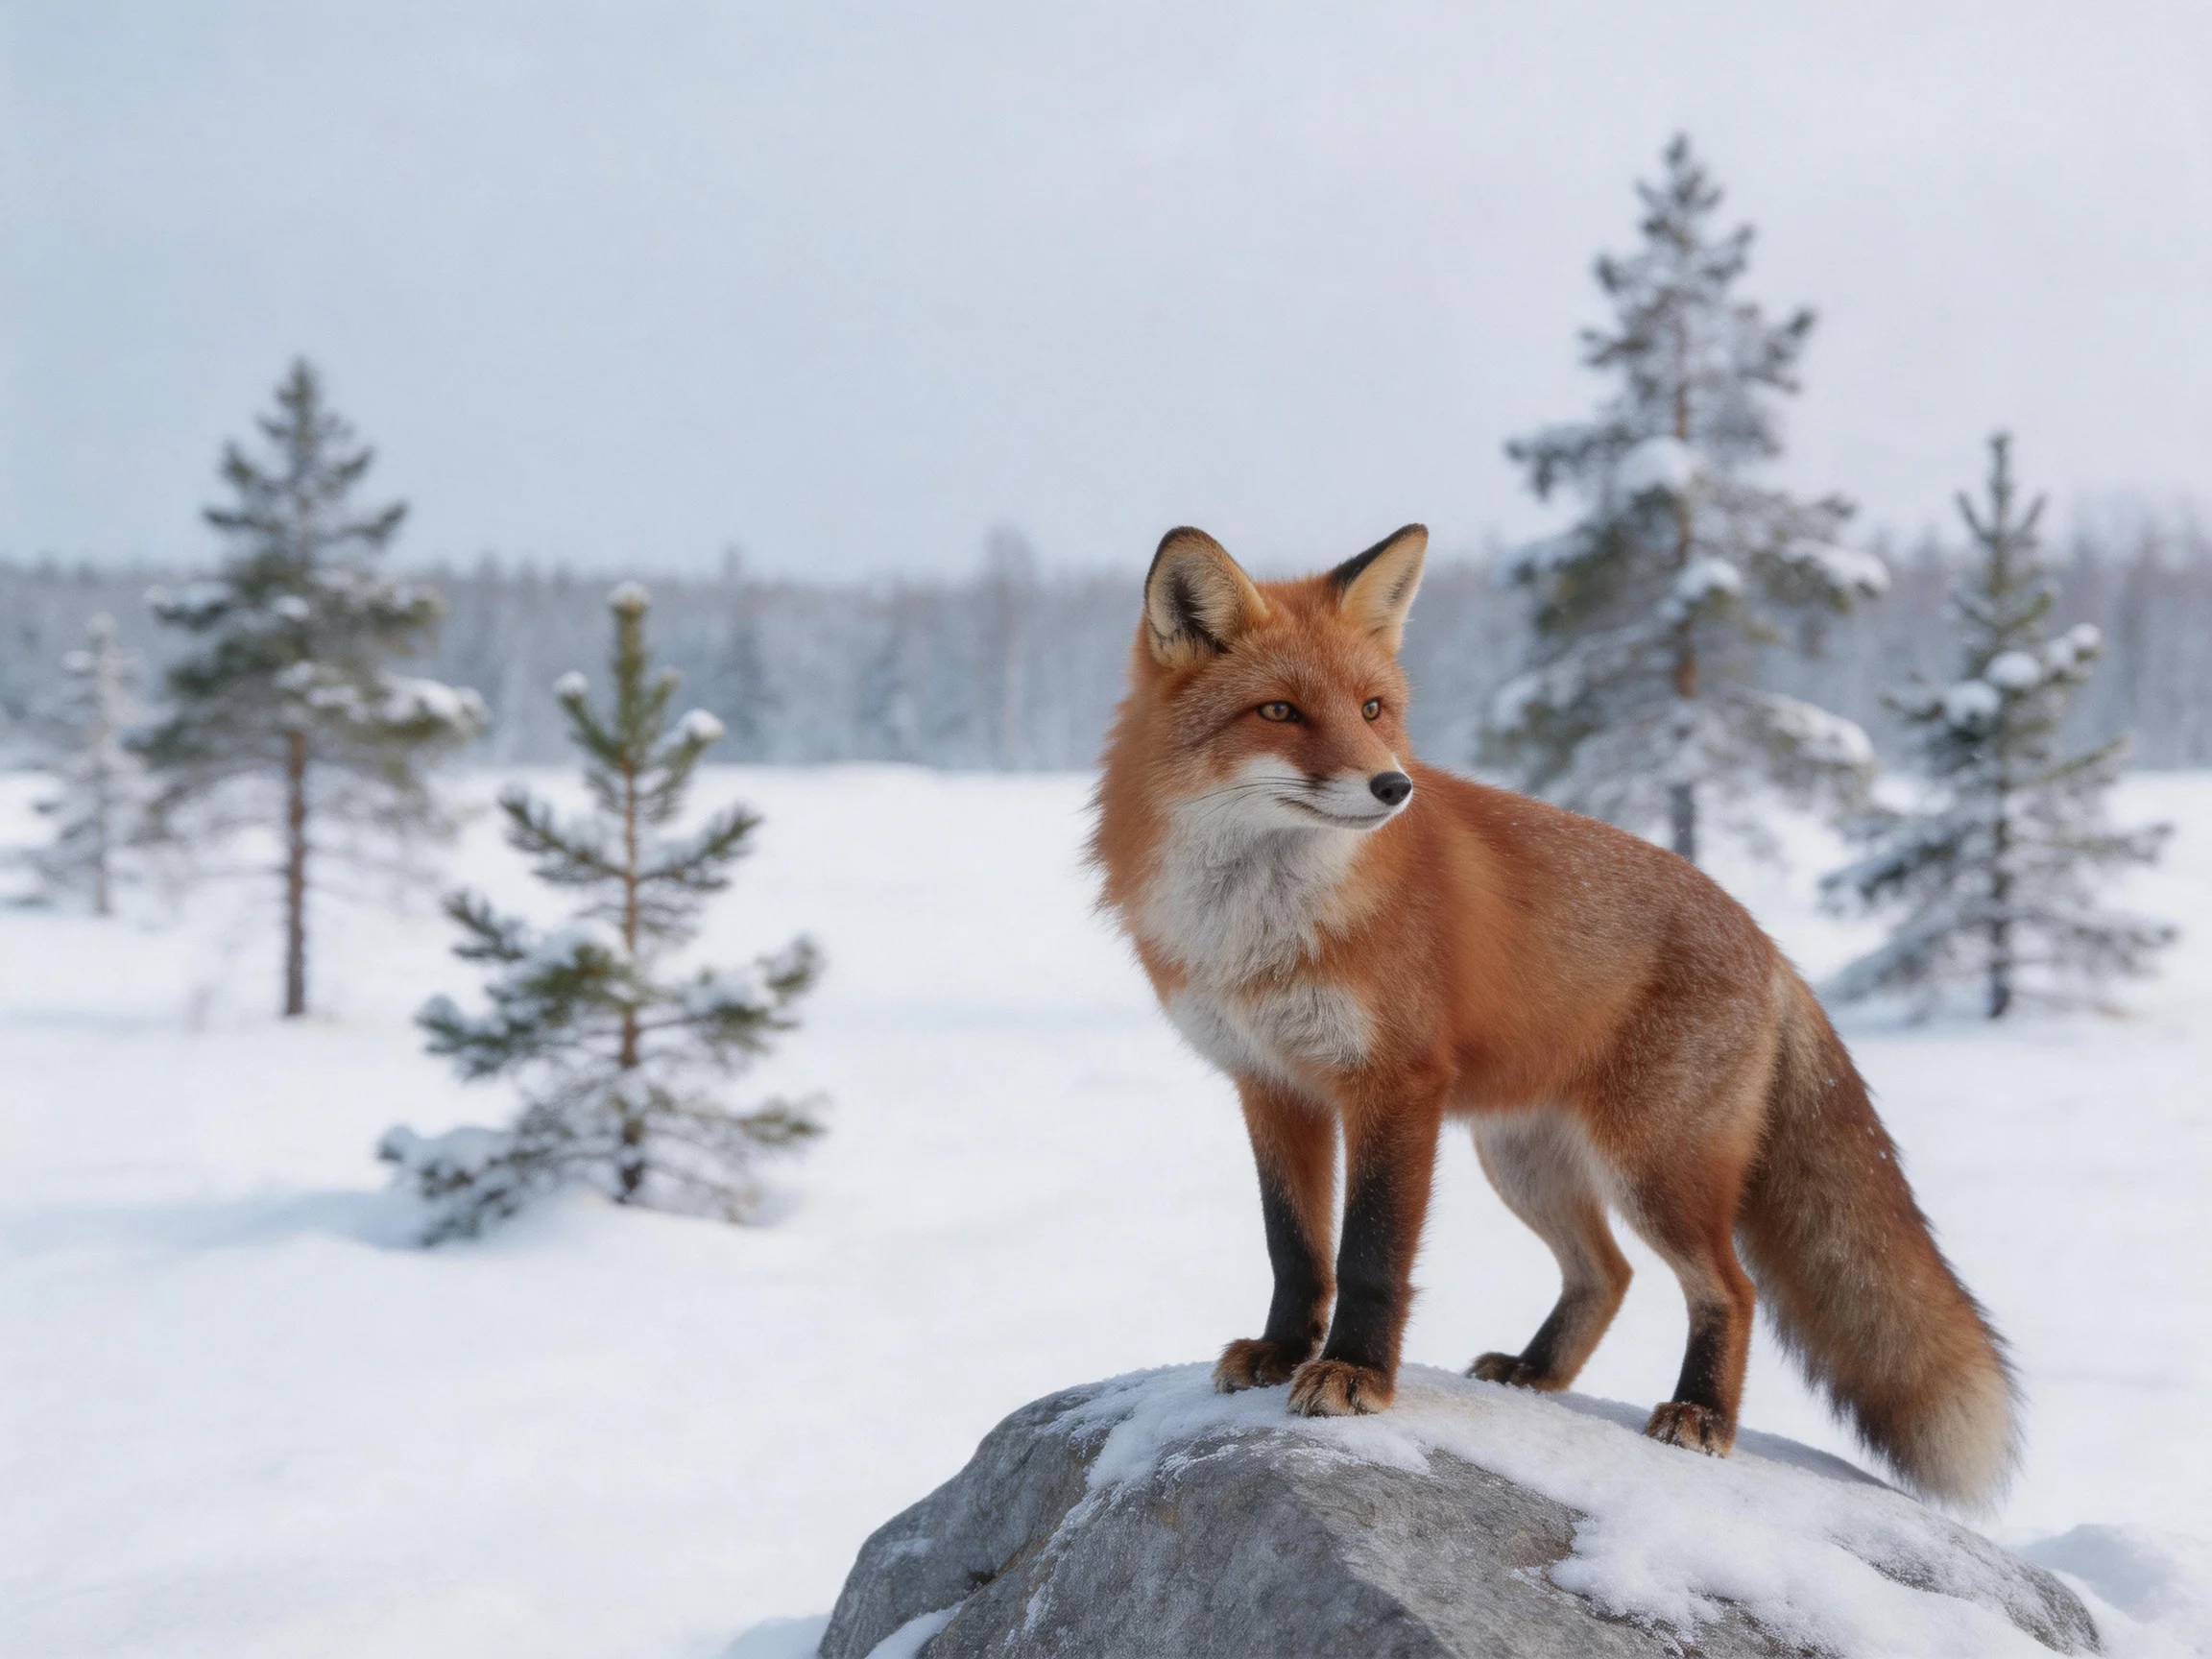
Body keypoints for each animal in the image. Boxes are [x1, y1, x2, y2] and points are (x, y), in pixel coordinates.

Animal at [1090, 522, 2020, 1508]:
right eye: (1279, 712)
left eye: (1374, 708)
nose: (1392, 788)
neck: (1263, 929)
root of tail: (1769, 945)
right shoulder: (1272, 1085)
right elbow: (1296, 1249)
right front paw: (1278, 1351)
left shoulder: (1396, 1086)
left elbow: (1372, 1255)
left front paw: (1355, 1373)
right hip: (1525, 1160)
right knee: (1606, 1273)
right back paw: (1536, 1373)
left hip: (1655, 1167)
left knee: (1731, 1287)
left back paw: (1703, 1416)